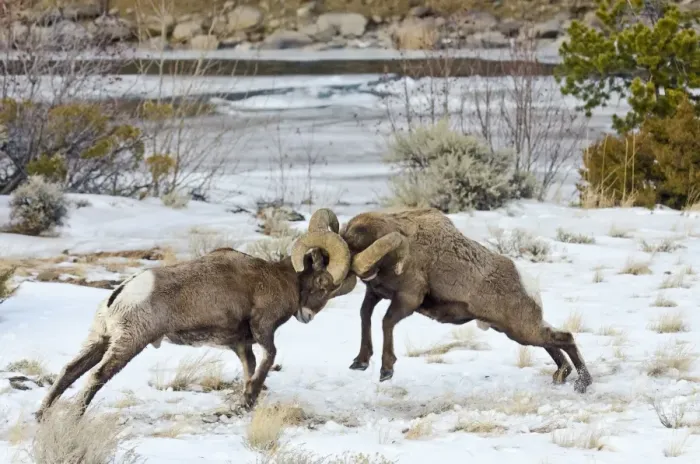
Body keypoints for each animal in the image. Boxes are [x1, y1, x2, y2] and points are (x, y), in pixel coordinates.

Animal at [35, 209, 357, 421]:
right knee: (97, 376)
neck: (279, 279)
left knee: (70, 371)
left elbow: (250, 368)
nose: (307, 315)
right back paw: (74, 418)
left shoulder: (241, 344)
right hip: (128, 343)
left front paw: (245, 402)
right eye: (323, 283)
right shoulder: (263, 330)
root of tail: (122, 293)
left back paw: (41, 415)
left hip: (101, 339)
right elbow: (268, 360)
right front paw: (249, 399)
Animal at [337, 207, 592, 393]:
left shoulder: (407, 300)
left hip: (522, 331)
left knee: (565, 338)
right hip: (517, 331)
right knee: (554, 342)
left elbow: (386, 322)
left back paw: (582, 384)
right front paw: (360, 362)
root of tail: (527, 283)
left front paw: (386, 371)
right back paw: (562, 376)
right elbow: (365, 315)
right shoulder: (377, 294)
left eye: (356, 245)